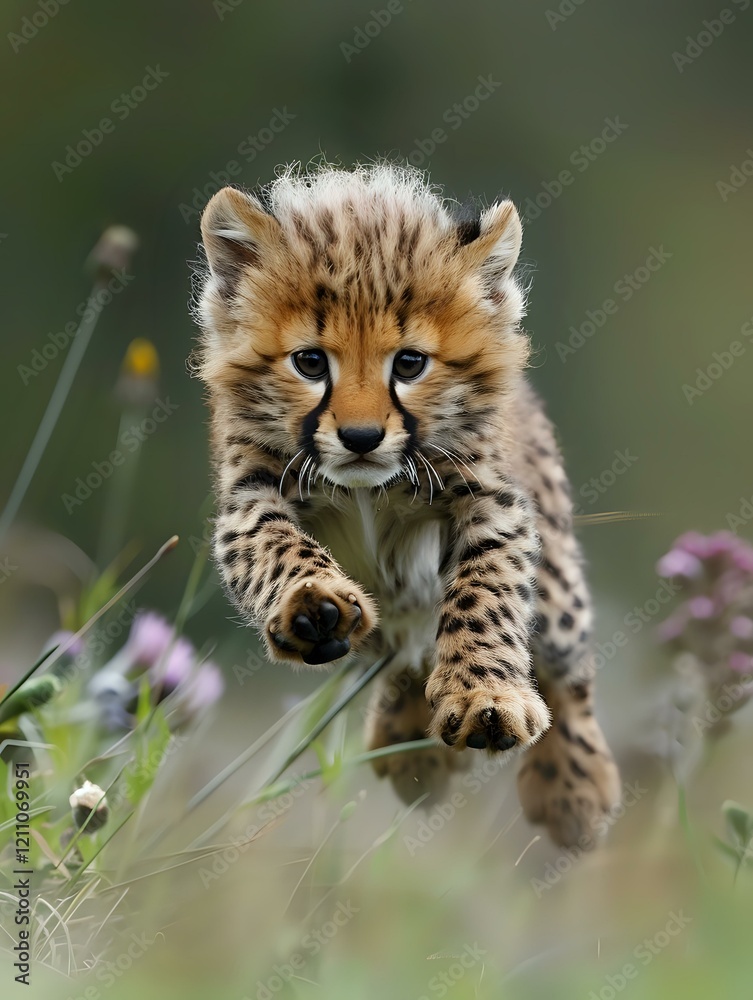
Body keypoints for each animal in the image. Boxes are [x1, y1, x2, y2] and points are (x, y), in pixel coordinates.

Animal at [191, 162, 620, 849]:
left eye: (410, 363)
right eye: (310, 362)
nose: (361, 437)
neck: (369, 485)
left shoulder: (492, 500)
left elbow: (484, 591)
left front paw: (485, 699)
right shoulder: (251, 495)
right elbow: (275, 547)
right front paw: (314, 605)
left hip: (557, 595)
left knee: (567, 668)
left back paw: (573, 792)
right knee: (406, 648)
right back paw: (412, 750)